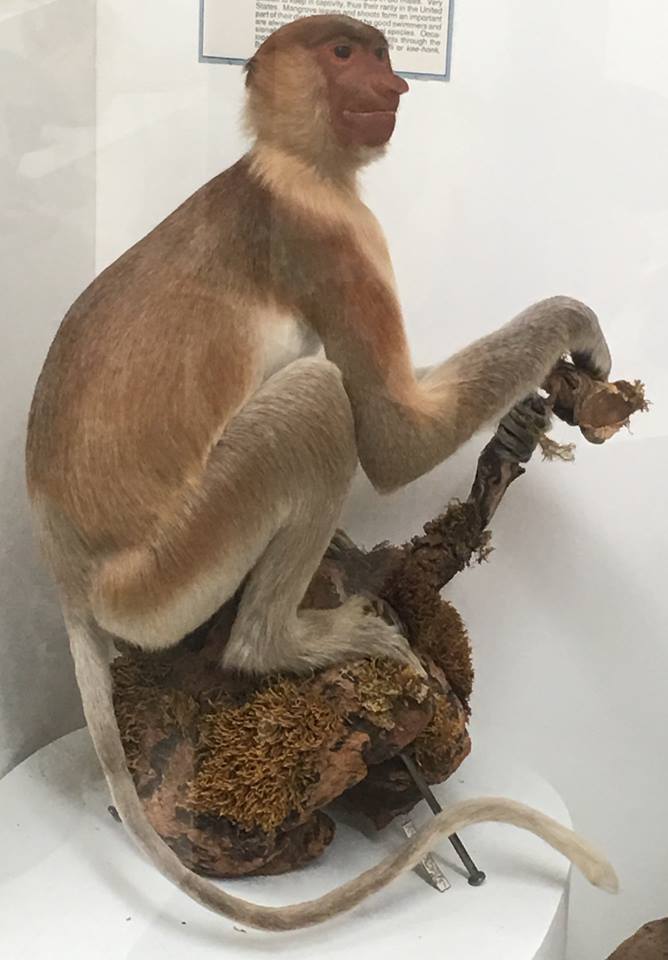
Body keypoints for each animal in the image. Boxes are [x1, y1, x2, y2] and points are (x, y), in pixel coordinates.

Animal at [25, 15, 617, 932]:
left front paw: (527, 419)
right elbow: (389, 438)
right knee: (316, 400)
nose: (396, 86)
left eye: (381, 51)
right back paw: (282, 640)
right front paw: (575, 326)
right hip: (167, 575)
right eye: (345, 54)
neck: (290, 162)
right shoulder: (334, 233)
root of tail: (69, 569)